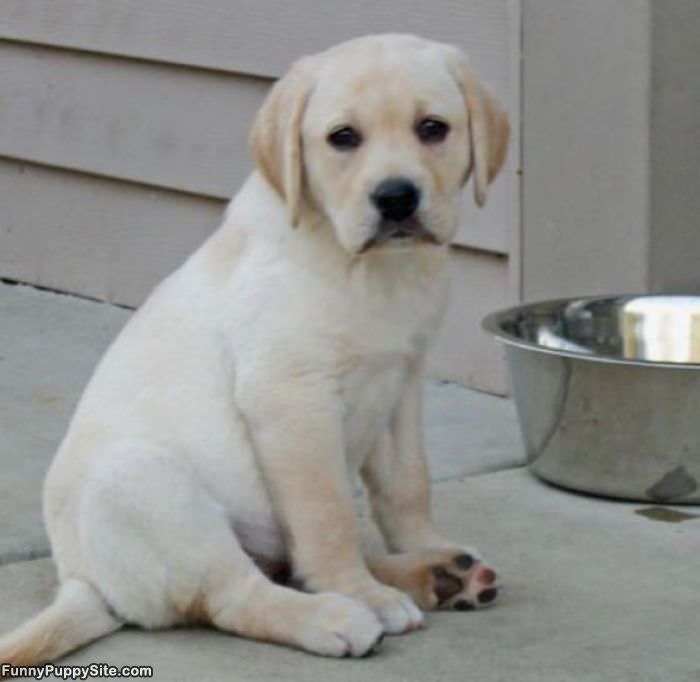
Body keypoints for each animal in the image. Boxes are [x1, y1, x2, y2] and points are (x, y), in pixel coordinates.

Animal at [1, 33, 508, 664]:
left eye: (433, 128)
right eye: (343, 138)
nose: (396, 198)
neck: (364, 267)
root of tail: (82, 582)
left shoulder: (402, 383)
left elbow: (407, 486)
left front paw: (423, 546)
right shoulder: (291, 398)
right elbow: (328, 515)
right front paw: (359, 591)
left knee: (283, 566)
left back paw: (436, 575)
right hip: (140, 481)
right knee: (239, 594)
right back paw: (339, 612)